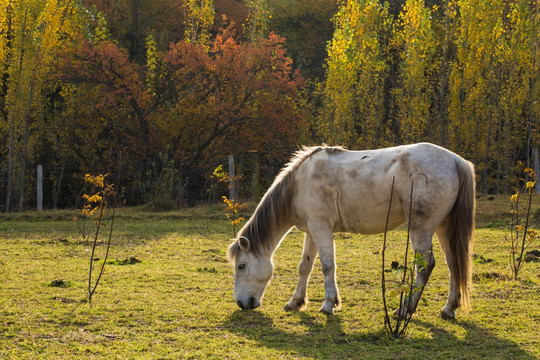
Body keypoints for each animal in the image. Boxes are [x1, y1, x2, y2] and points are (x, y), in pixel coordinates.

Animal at [228, 143, 476, 318]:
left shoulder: (321, 228)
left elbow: (327, 266)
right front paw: (295, 302)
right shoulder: (311, 231)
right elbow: (305, 267)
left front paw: (329, 305)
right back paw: (448, 309)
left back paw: (405, 310)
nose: (241, 303)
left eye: (241, 265)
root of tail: (456, 161)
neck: (298, 184)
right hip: (444, 228)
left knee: (425, 266)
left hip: (420, 229)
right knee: (454, 263)